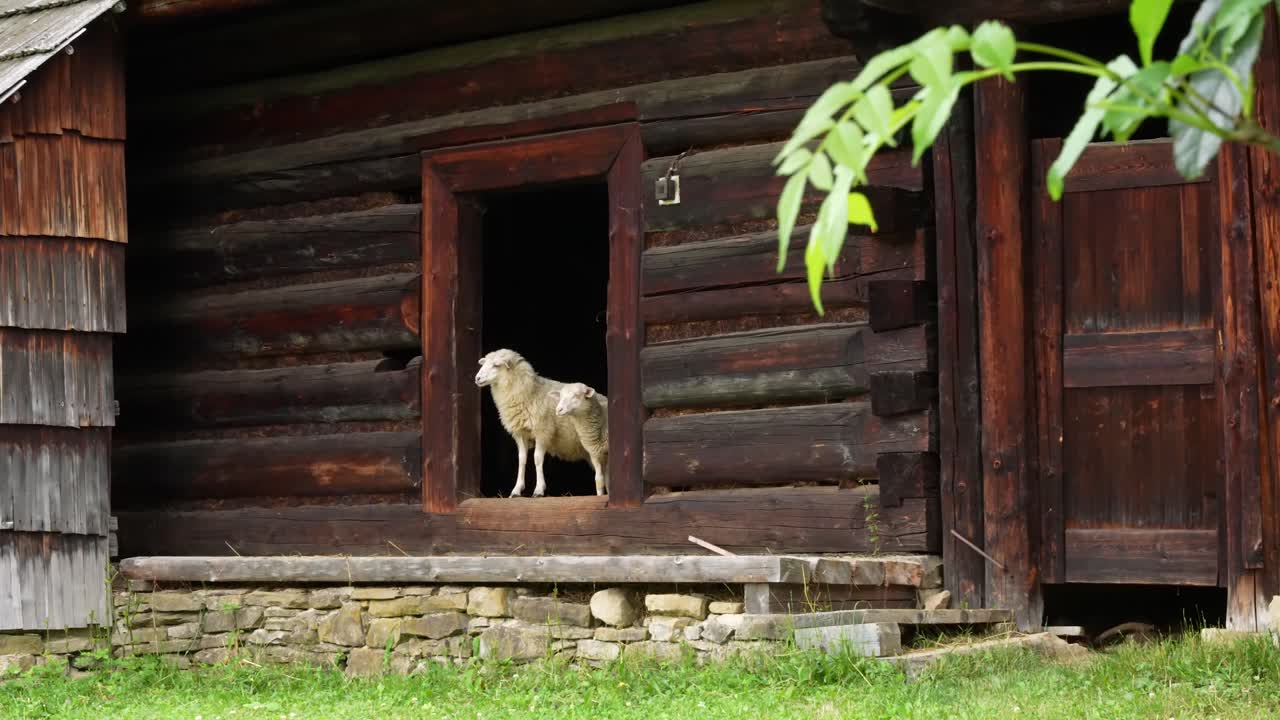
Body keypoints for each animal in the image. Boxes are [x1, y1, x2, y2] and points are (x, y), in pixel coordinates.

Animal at [474, 348, 591, 498]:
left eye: (496, 365)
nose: (477, 378)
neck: (531, 392)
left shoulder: (542, 431)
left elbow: (537, 458)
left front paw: (539, 490)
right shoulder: (520, 433)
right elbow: (522, 459)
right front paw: (516, 490)